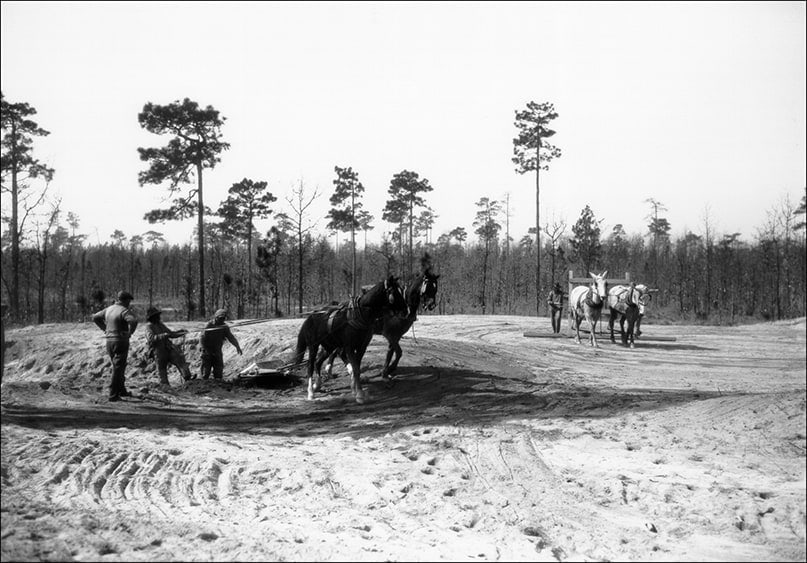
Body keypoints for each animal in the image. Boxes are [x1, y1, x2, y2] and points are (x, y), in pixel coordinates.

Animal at [294, 278, 408, 406]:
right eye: (394, 292)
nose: (406, 310)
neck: (359, 314)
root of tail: (311, 317)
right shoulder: (349, 347)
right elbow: (355, 369)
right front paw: (359, 395)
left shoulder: (362, 347)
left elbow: (356, 367)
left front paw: (355, 389)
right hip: (313, 346)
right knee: (310, 365)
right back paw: (310, 392)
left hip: (329, 346)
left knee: (318, 363)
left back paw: (317, 385)